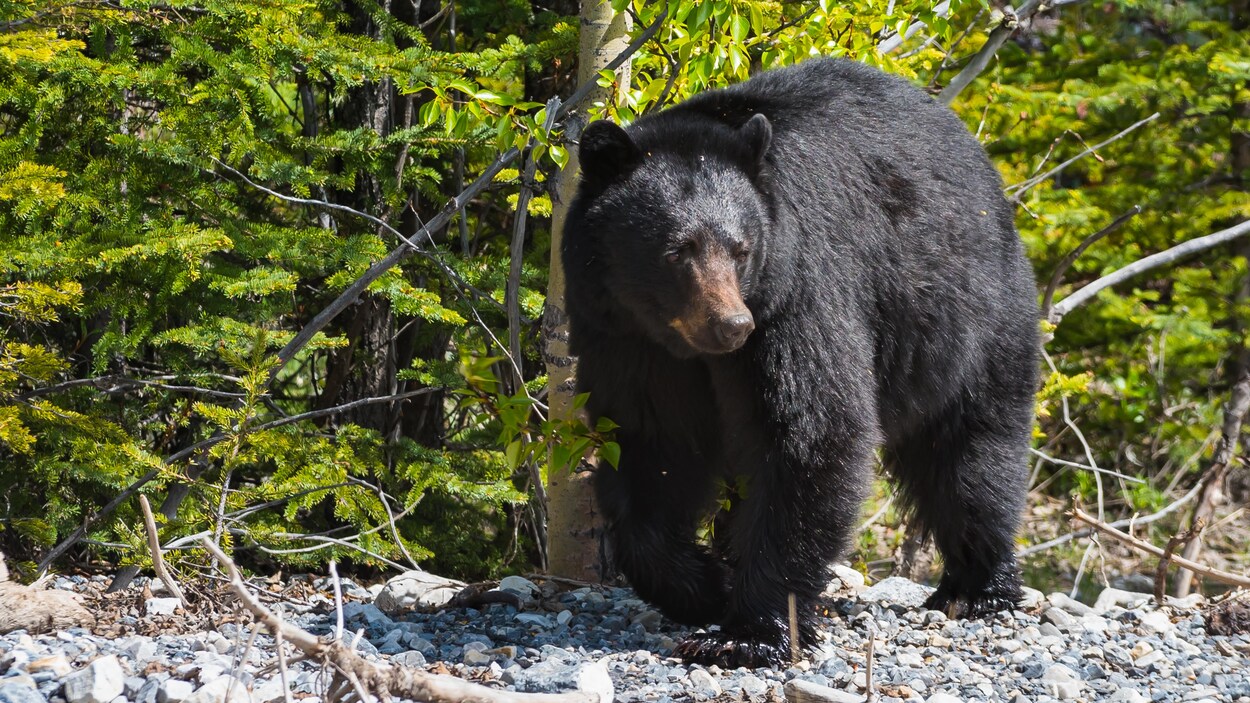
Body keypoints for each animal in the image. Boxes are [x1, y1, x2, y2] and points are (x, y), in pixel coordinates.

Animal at [562, 57, 1040, 665]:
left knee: (972, 453)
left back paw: (978, 587)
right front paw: (705, 587)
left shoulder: (797, 292)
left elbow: (810, 430)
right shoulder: (626, 337)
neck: (683, 345)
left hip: (972, 319)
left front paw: (752, 631)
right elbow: (653, 443)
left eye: (741, 249)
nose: (732, 325)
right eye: (677, 250)